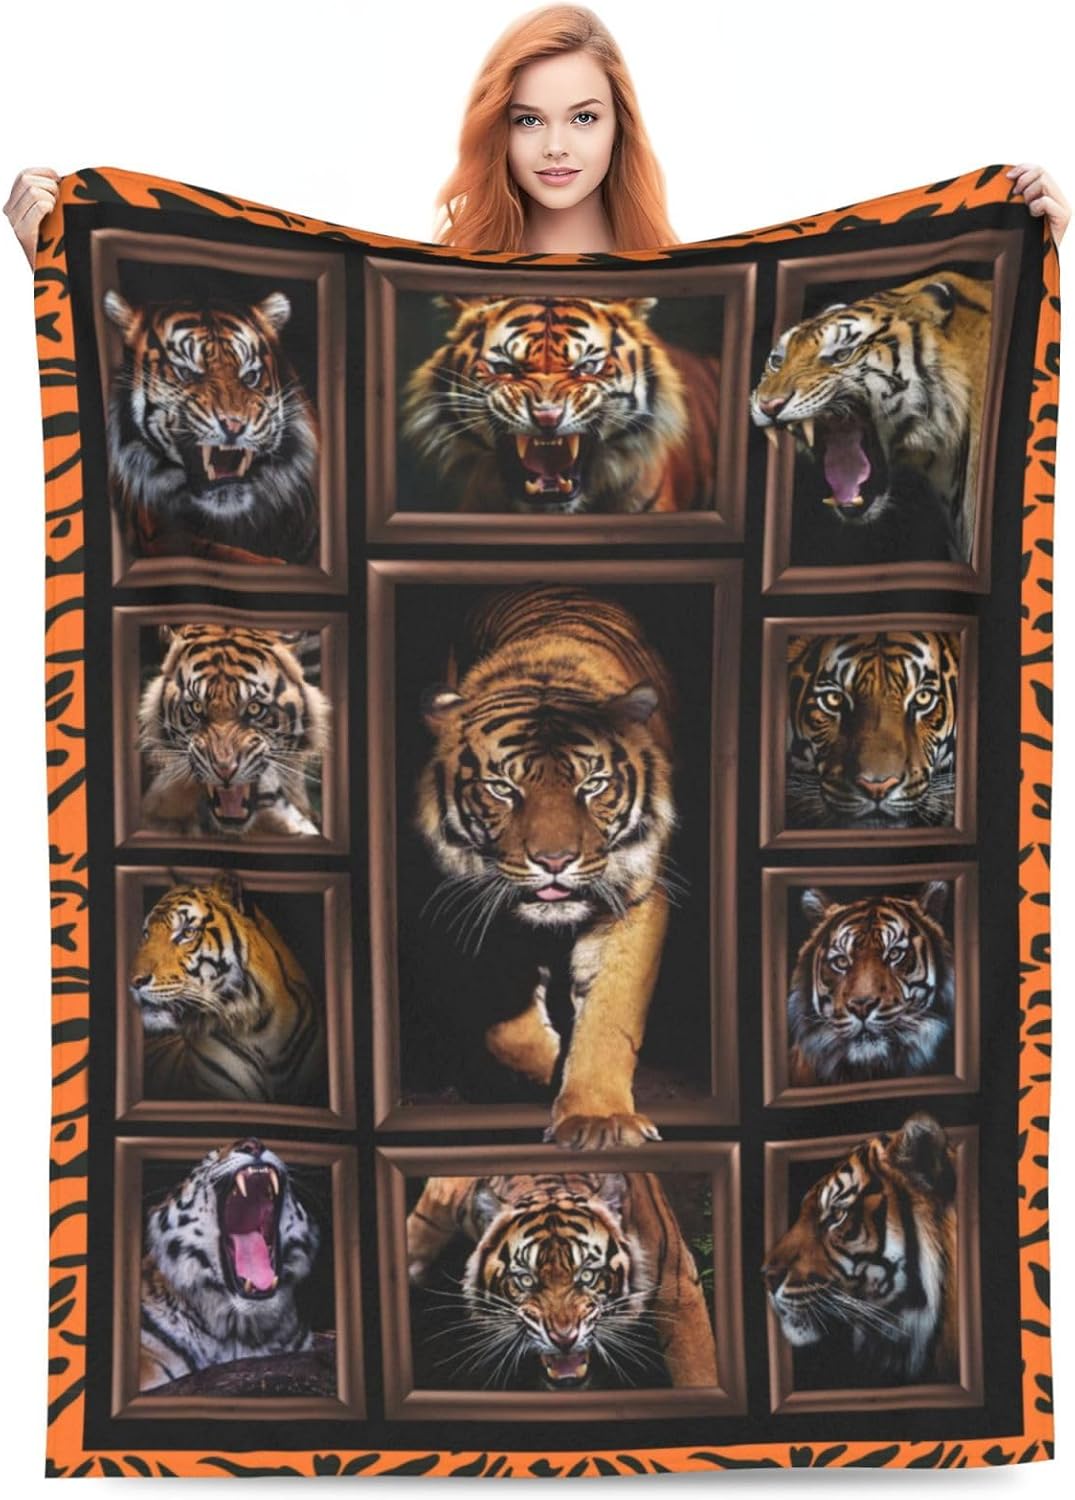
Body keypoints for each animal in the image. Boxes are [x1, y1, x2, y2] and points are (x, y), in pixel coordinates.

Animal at [415, 585, 678, 1150]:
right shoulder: (479, 904)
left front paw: (598, 1117)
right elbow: (506, 1028)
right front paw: (550, 1069)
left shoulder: (635, 898)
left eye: (592, 785)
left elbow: (611, 1014)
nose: (554, 861)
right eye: (502, 789)